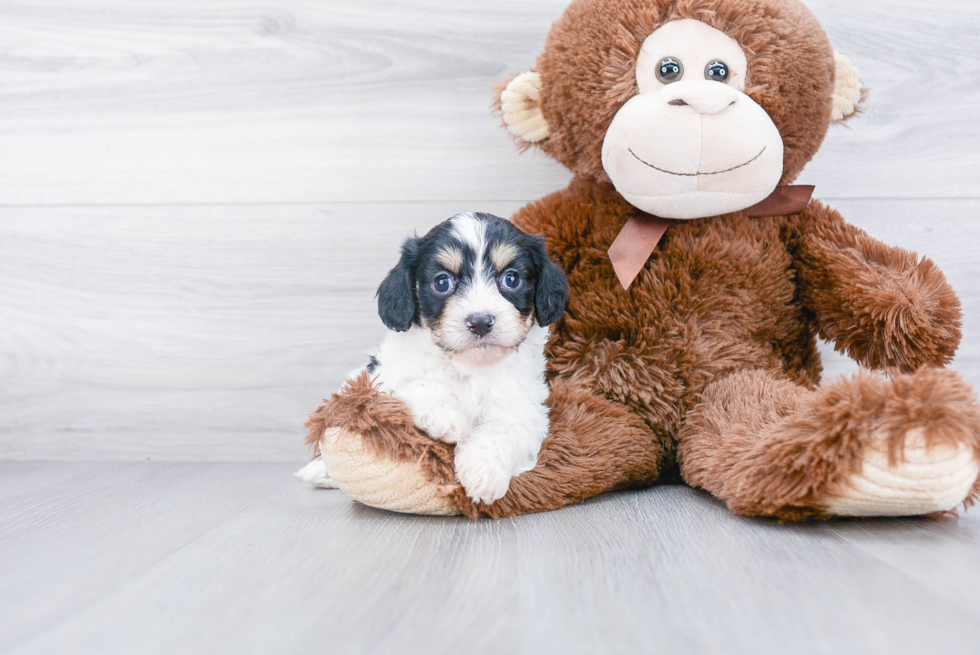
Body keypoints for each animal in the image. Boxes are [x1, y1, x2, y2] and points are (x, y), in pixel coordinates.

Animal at [344, 213, 568, 504]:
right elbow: (416, 384)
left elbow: (503, 430)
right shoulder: (383, 377)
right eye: (442, 282)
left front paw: (482, 472)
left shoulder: (524, 408)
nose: (480, 322)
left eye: (511, 279)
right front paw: (446, 418)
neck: (471, 365)